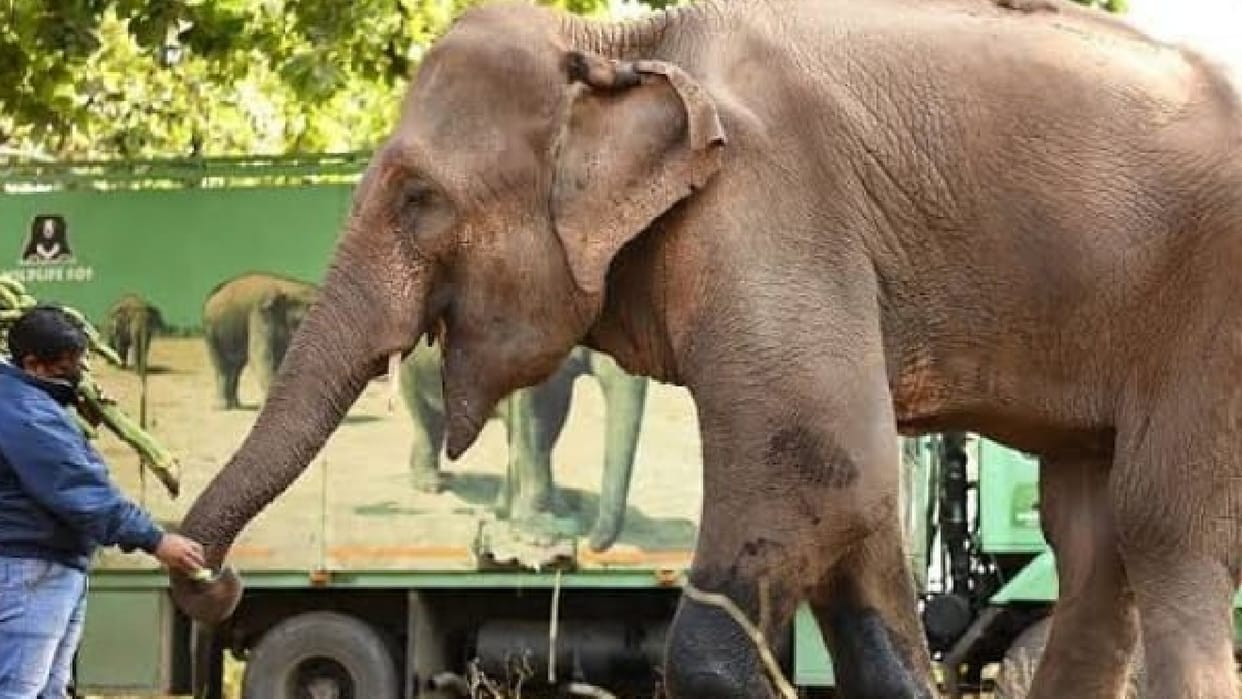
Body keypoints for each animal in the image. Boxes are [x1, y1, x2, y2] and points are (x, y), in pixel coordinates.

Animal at [201, 272, 317, 410]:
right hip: (211, 332)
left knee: (237, 367)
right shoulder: (260, 314)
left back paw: (236, 404)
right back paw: (223, 406)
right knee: (222, 366)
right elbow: (261, 355)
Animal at [401, 338, 648, 552]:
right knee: (427, 418)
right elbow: (532, 417)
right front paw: (537, 536)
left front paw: (507, 512)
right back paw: (430, 484)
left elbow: (550, 418)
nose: (591, 544)